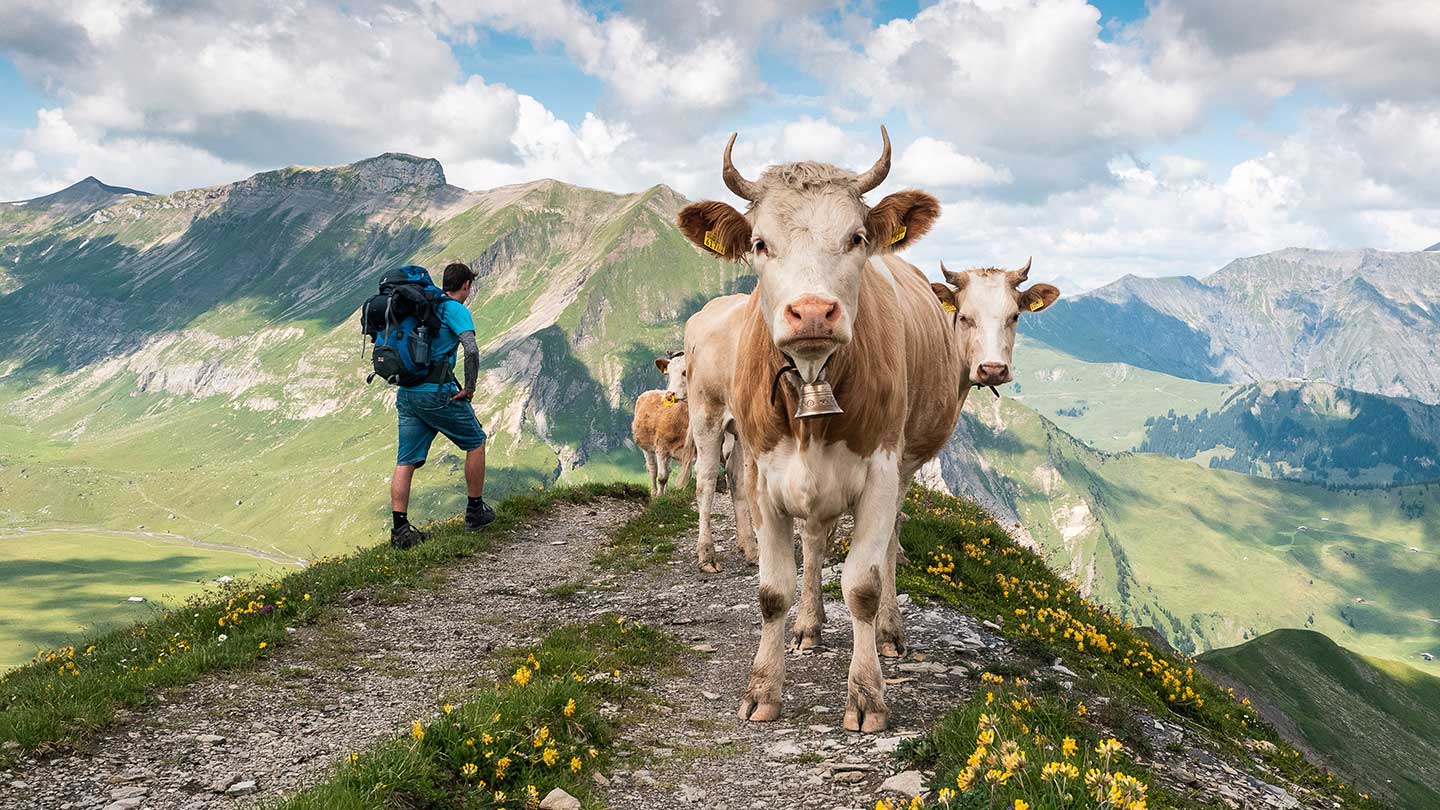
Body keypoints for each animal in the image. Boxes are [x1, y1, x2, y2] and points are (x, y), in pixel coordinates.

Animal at [633, 354, 694, 498]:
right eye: (669, 374)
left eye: (685, 372)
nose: (669, 394)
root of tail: (650, 391)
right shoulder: (661, 448)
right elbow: (661, 477)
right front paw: (660, 497)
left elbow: (687, 475)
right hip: (647, 447)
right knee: (653, 469)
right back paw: (654, 492)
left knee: (668, 469)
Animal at [682, 292, 760, 570]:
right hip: (706, 417)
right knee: (705, 479)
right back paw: (707, 555)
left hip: (738, 431)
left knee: (736, 477)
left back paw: (750, 547)